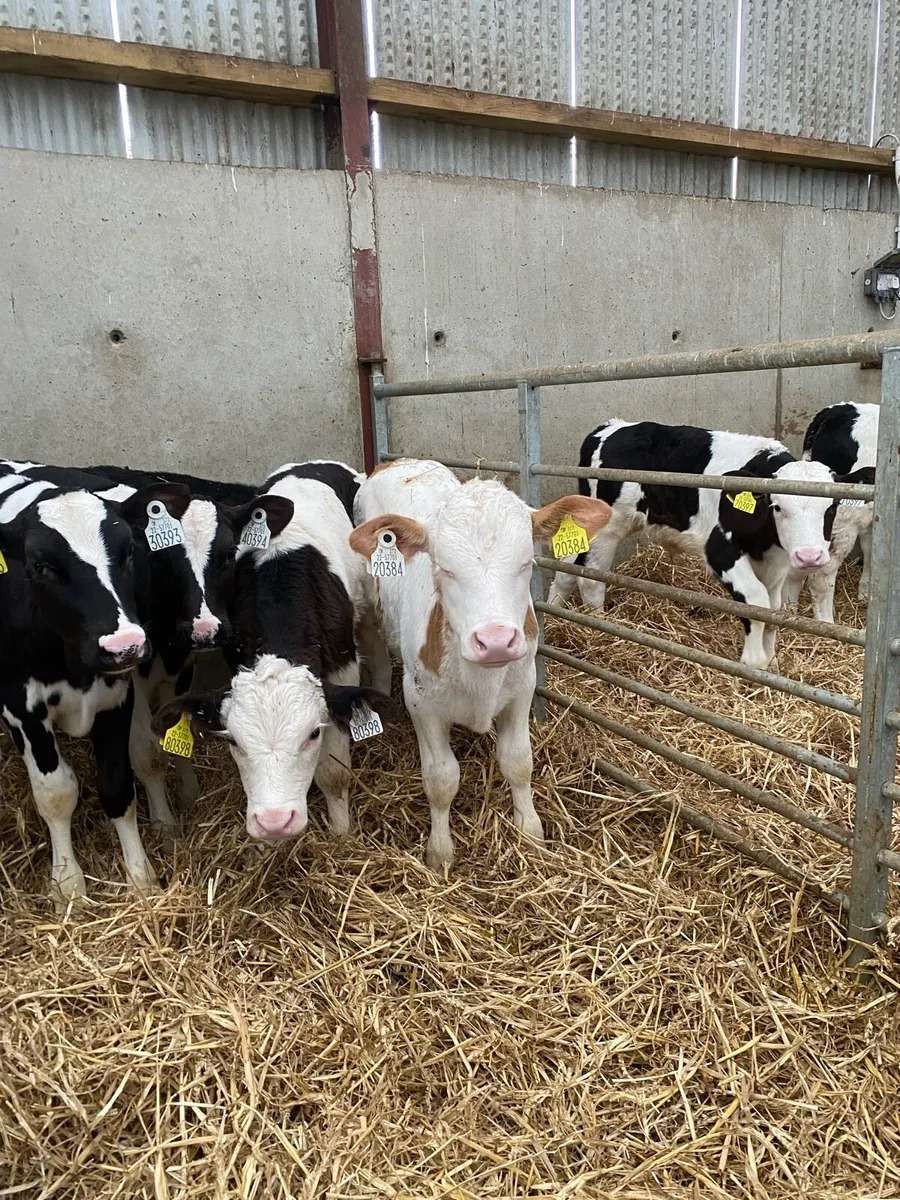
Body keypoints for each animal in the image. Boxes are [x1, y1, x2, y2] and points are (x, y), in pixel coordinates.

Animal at [0, 470, 191, 902]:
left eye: (128, 551)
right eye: (40, 566)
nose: (125, 645)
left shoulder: (115, 697)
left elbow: (119, 785)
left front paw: (140, 876)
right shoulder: (22, 709)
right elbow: (55, 792)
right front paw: (68, 885)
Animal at [152, 461, 392, 843]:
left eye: (313, 734)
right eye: (233, 741)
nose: (274, 821)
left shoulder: (341, 665)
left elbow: (334, 772)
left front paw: (341, 835)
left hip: (368, 600)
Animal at [349, 459, 612, 871]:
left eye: (526, 562)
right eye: (444, 569)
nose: (495, 641)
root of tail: (400, 462)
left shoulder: (522, 688)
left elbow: (518, 762)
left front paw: (530, 831)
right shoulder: (421, 704)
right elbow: (441, 780)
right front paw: (440, 852)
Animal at [545, 420, 867, 670]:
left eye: (831, 506)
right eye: (777, 506)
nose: (810, 556)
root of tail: (609, 427)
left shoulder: (775, 561)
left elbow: (773, 611)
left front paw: (772, 664)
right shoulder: (721, 551)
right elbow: (755, 600)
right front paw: (754, 662)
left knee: (566, 571)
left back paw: (553, 615)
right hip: (608, 530)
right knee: (591, 581)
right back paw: (600, 629)